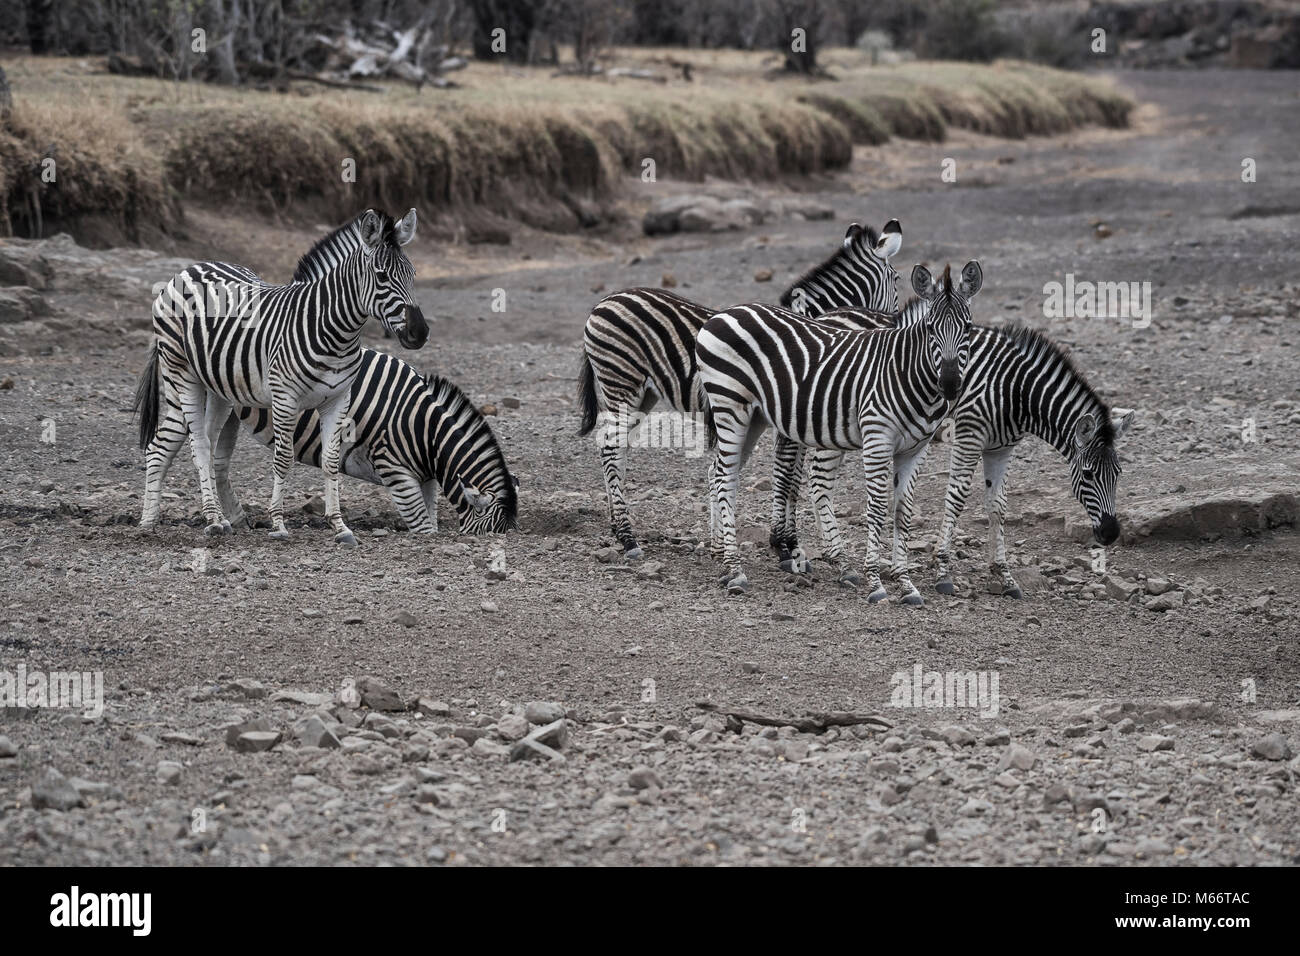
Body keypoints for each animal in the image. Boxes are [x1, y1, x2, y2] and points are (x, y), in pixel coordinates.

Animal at [135, 208, 426, 546]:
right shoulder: (285, 398)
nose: (420, 333)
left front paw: (340, 526)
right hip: (181, 375)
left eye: (413, 274)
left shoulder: (338, 399)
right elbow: (283, 458)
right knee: (194, 446)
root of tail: (188, 269)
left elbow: (330, 460)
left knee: (176, 445)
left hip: (219, 387)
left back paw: (167, 521)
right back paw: (201, 521)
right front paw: (278, 524)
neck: (332, 329)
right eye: (382, 277)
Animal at [205, 345, 514, 535]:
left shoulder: (425, 476)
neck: (426, 432)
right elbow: (424, 527)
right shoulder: (396, 473)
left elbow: (431, 518)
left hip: (232, 411)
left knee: (218, 463)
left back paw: (236, 518)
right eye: (489, 534)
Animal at [579, 219, 904, 556]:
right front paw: (782, 541)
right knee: (611, 448)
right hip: (621, 381)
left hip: (644, 393)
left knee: (616, 449)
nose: (895, 321)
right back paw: (627, 536)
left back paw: (618, 526)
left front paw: (780, 539)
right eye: (897, 280)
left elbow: (792, 478)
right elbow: (786, 475)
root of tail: (603, 301)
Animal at [696, 260, 977, 606]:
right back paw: (735, 570)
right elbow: (877, 508)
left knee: (720, 472)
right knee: (724, 477)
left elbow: (903, 511)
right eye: (930, 328)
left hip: (754, 416)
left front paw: (906, 583)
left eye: (967, 328)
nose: (950, 384)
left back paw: (723, 555)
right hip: (730, 403)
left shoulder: (915, 449)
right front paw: (876, 582)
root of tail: (722, 313)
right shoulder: (876, 439)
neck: (905, 372)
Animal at [785, 321, 1133, 598]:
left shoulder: (1001, 448)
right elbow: (956, 497)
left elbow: (998, 506)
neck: (1015, 390)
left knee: (817, 483)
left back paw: (831, 554)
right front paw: (943, 572)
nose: (1110, 533)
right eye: (1088, 475)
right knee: (819, 482)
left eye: (1118, 474)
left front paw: (1004, 575)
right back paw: (841, 561)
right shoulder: (969, 434)